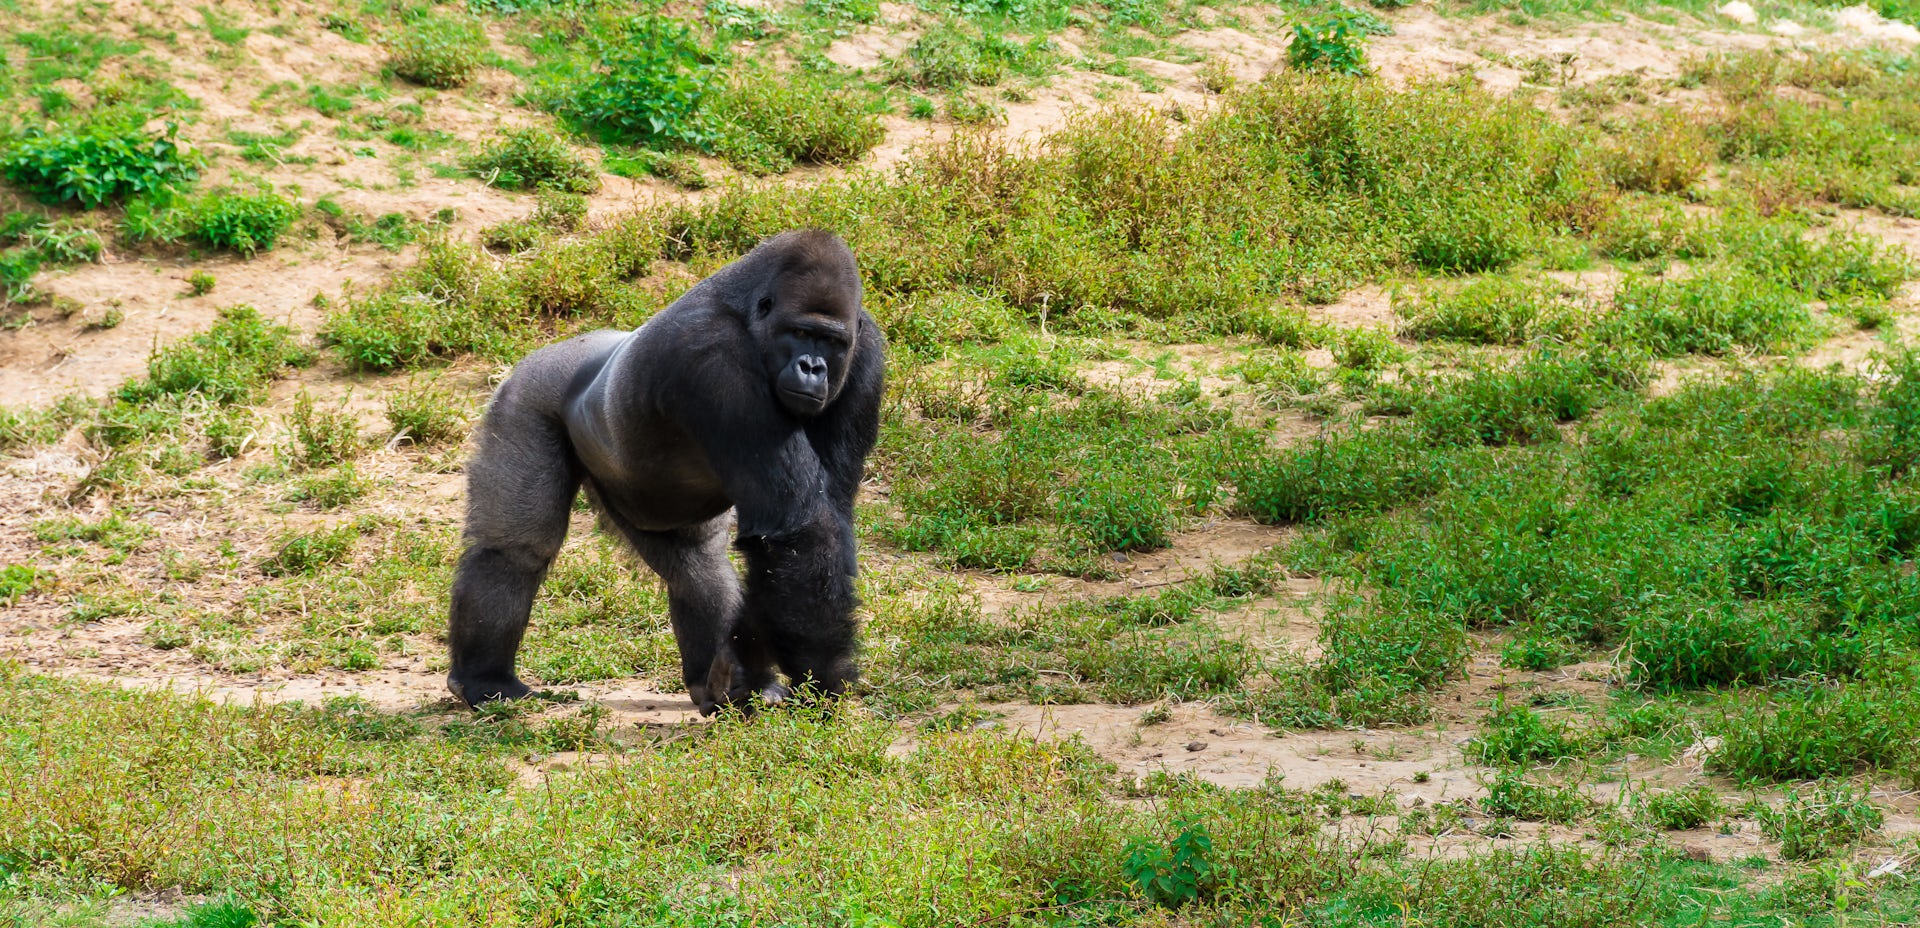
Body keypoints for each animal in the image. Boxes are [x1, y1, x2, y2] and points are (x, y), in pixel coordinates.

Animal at [443, 228, 883, 714]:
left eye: (831, 342)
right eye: (800, 333)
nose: (812, 367)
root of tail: (565, 347)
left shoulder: (865, 358)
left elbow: (816, 525)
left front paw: (749, 667)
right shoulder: (715, 358)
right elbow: (800, 529)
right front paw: (825, 678)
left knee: (696, 562)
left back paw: (709, 681)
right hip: (527, 392)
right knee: (516, 549)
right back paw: (485, 678)